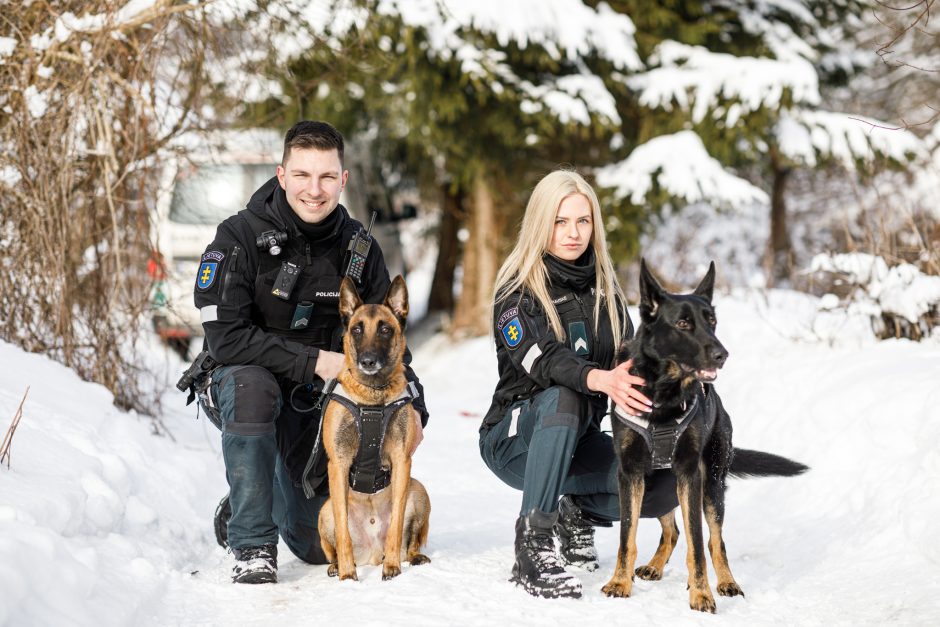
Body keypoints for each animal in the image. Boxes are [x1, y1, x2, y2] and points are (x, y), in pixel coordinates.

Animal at [318, 278, 432, 580]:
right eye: (357, 329)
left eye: (385, 329)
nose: (368, 361)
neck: (372, 396)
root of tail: (370, 553)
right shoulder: (338, 464)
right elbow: (343, 533)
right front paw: (347, 574)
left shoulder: (402, 461)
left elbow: (395, 525)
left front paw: (392, 566)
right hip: (324, 511)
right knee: (333, 546)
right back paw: (337, 566)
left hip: (419, 491)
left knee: (411, 543)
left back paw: (411, 558)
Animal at [604, 258, 808, 612]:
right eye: (684, 323)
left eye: (711, 321)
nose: (722, 354)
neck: (663, 393)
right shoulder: (630, 474)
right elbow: (626, 536)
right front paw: (619, 581)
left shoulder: (689, 474)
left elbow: (698, 544)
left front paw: (701, 593)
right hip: (661, 483)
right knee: (672, 531)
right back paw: (654, 566)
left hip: (711, 485)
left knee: (715, 539)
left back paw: (725, 581)